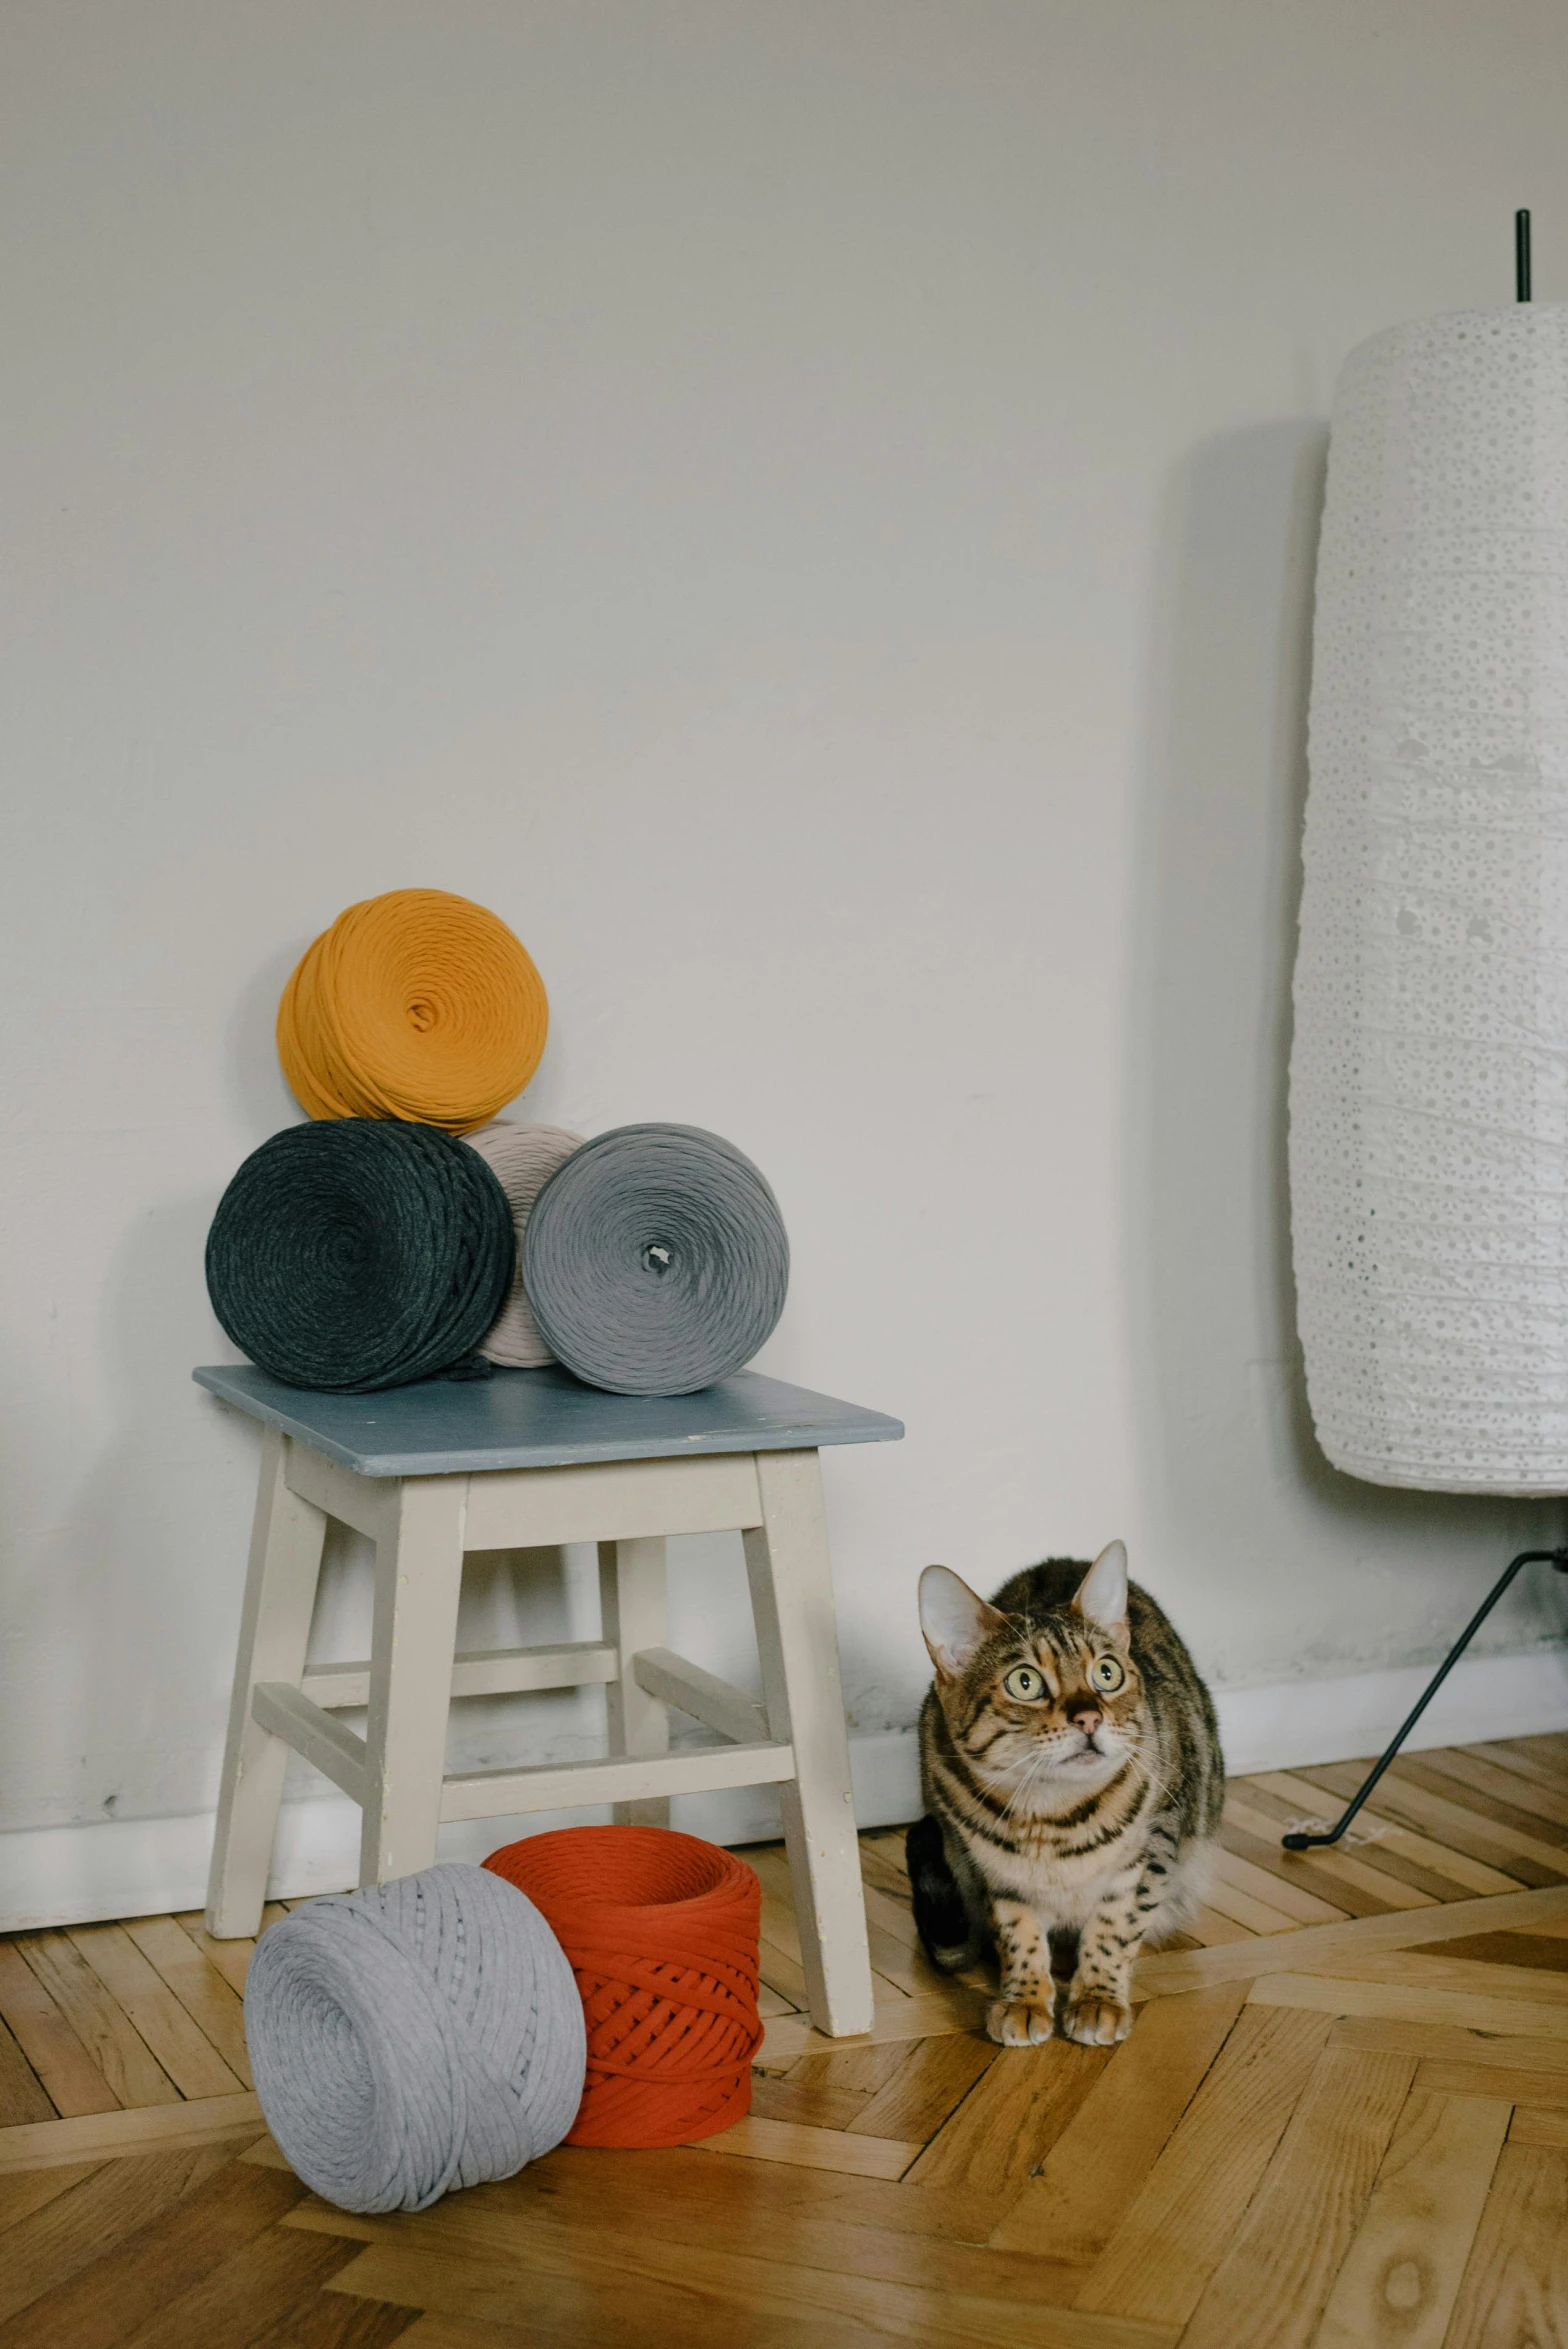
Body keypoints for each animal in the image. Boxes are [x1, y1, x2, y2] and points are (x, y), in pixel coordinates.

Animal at [906, 1540, 1220, 2038]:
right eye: (1025, 1682)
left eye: (1107, 1674)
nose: (1089, 1718)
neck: (1051, 1816)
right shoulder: (994, 1872)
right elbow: (1019, 1933)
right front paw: (1026, 1999)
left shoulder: (1151, 1847)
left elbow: (1115, 1926)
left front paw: (1097, 1998)